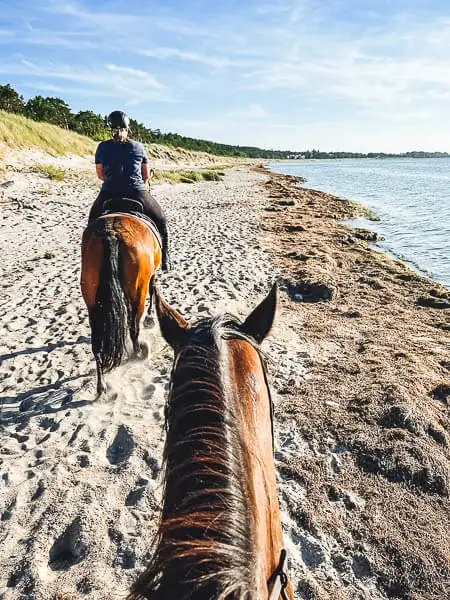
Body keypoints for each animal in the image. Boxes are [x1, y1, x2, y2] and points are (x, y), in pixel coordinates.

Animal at [81, 212, 162, 394]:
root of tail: (112, 231)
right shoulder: (150, 277)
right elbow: (153, 290)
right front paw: (150, 319)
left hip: (91, 298)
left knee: (97, 342)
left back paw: (101, 384)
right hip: (138, 291)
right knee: (133, 326)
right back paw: (138, 353)